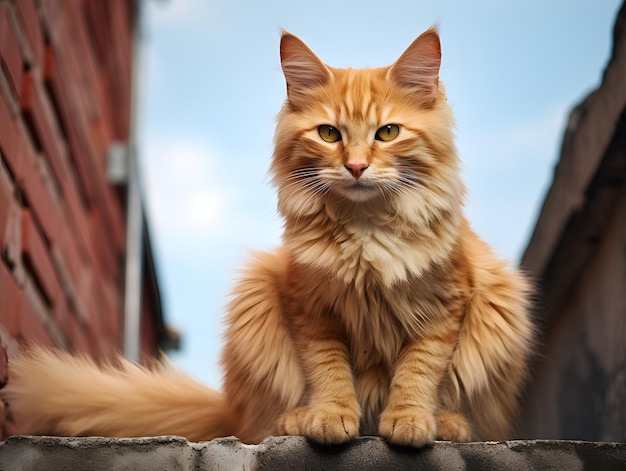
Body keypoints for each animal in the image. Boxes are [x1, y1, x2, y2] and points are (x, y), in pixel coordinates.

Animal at [3, 27, 532, 448]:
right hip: (255, 298)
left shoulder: (445, 307)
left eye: (387, 132)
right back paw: (297, 419)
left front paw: (408, 421)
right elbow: (329, 371)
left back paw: (450, 425)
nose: (356, 166)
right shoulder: (311, 309)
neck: (366, 233)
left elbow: (418, 371)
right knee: (259, 425)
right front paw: (332, 417)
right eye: (328, 133)